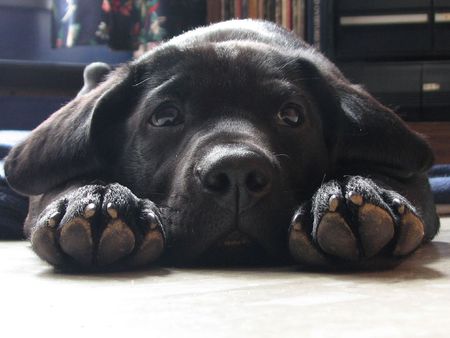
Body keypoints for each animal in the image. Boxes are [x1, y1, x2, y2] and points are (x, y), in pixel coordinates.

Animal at [3, 20, 440, 270]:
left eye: (291, 115)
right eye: (165, 116)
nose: (236, 173)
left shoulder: (416, 179)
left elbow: (395, 181)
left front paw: (353, 191)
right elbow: (58, 184)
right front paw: (94, 197)